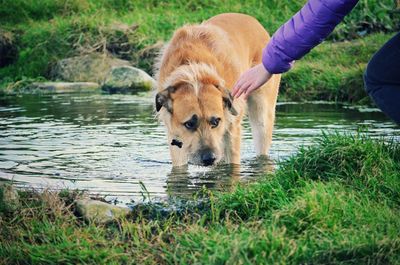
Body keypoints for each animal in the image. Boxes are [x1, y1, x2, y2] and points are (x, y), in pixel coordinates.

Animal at [155, 13, 280, 166]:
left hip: (262, 116)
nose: (209, 158)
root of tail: (253, 20)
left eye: (215, 122)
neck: (195, 73)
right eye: (189, 124)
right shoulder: (175, 136)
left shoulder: (231, 129)